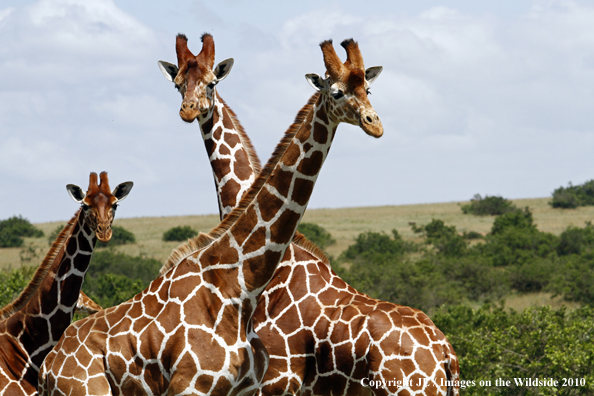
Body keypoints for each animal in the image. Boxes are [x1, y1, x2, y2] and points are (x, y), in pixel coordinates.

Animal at [40, 38, 384, 396]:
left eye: (368, 89)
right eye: (337, 93)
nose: (375, 123)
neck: (240, 286)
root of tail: (46, 365)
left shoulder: (252, 386)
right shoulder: (193, 386)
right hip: (88, 389)